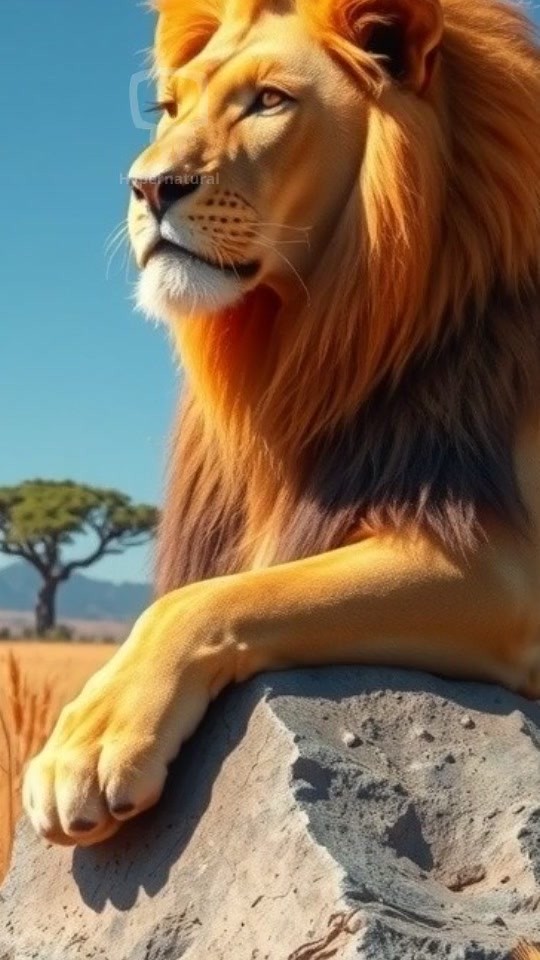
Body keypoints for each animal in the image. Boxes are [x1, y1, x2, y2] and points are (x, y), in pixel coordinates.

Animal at [23, 0, 540, 862]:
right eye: (168, 109)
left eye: (268, 101)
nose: (148, 186)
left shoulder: (507, 571)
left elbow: (203, 600)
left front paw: (88, 744)